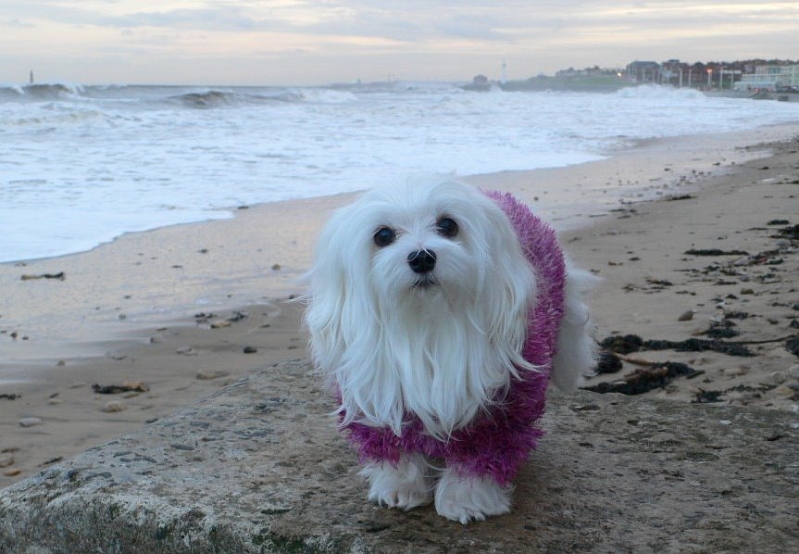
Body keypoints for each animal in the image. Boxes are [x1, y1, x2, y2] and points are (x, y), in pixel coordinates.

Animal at [304, 177, 592, 520]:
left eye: (448, 225)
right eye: (383, 235)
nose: (422, 257)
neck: (428, 324)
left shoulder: (501, 407)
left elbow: (482, 452)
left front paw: (467, 497)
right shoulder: (379, 395)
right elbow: (394, 446)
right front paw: (400, 486)